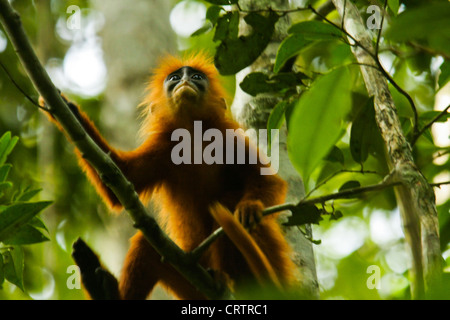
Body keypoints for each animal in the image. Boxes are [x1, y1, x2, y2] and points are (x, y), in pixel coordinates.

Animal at [40, 53, 298, 300]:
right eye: (174, 78)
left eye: (196, 77)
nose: (184, 81)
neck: (193, 138)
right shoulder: (164, 148)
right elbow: (120, 179)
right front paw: (67, 110)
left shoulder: (229, 138)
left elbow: (269, 181)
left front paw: (250, 207)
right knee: (148, 245)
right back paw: (103, 289)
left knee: (229, 202)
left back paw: (231, 278)